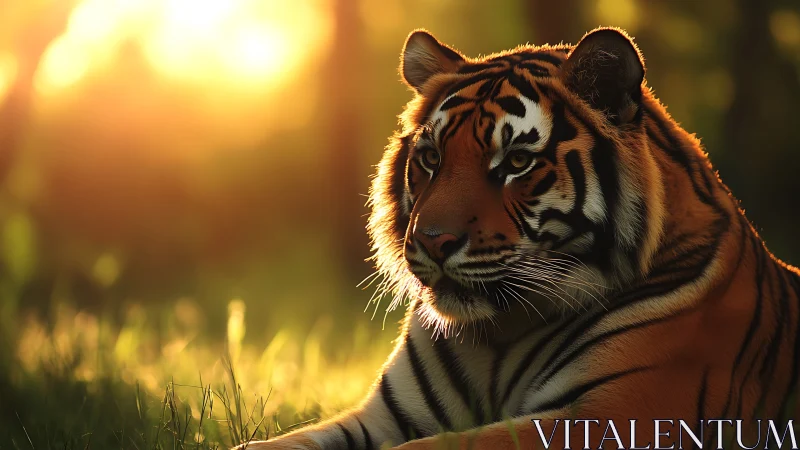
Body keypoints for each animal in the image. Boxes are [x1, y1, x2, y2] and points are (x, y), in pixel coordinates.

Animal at [239, 27, 800, 450]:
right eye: (431, 158)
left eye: (516, 162)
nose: (432, 241)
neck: (497, 336)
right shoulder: (382, 418)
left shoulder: (614, 415)